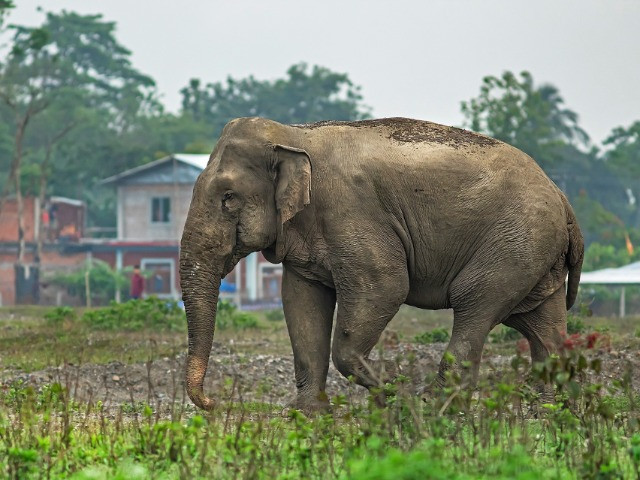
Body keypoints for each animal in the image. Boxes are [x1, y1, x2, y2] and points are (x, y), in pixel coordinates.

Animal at [179, 116, 584, 412]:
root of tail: (563, 198)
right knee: (539, 322)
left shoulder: (353, 212)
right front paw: (306, 415)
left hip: (516, 242)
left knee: (475, 303)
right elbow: (301, 301)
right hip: (533, 253)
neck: (294, 133)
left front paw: (395, 395)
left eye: (228, 198)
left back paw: (434, 406)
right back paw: (544, 410)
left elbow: (385, 286)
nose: (212, 403)